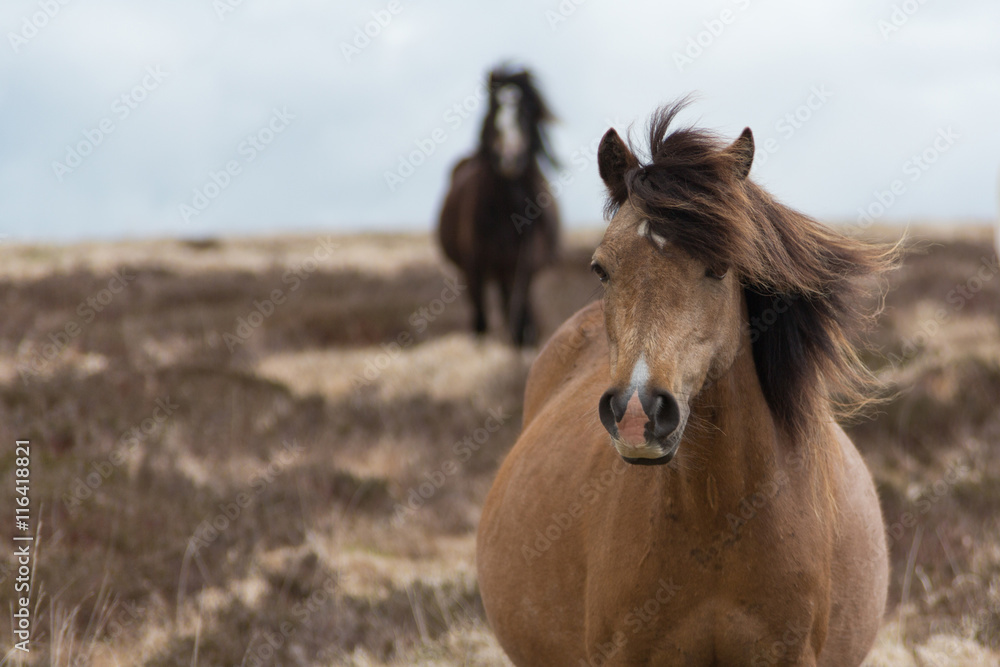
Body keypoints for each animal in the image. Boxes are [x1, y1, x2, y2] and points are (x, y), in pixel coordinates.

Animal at [437, 66, 560, 347]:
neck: (507, 214)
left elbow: (520, 317)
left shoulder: (523, 266)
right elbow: (481, 320)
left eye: (525, 114)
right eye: (493, 113)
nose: (510, 158)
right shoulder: (474, 269)